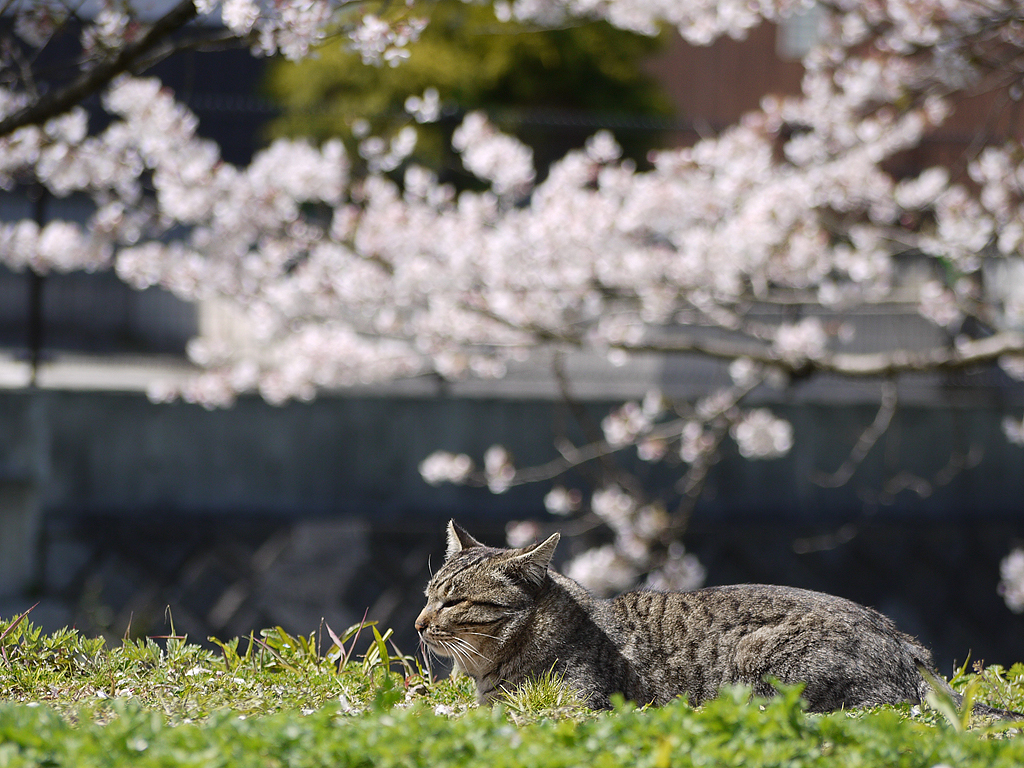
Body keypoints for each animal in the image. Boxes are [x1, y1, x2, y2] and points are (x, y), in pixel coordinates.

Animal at [413, 520, 1015, 720]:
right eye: (428, 595)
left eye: (453, 602)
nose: (418, 624)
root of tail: (911, 652)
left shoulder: (580, 704)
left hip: (759, 666)